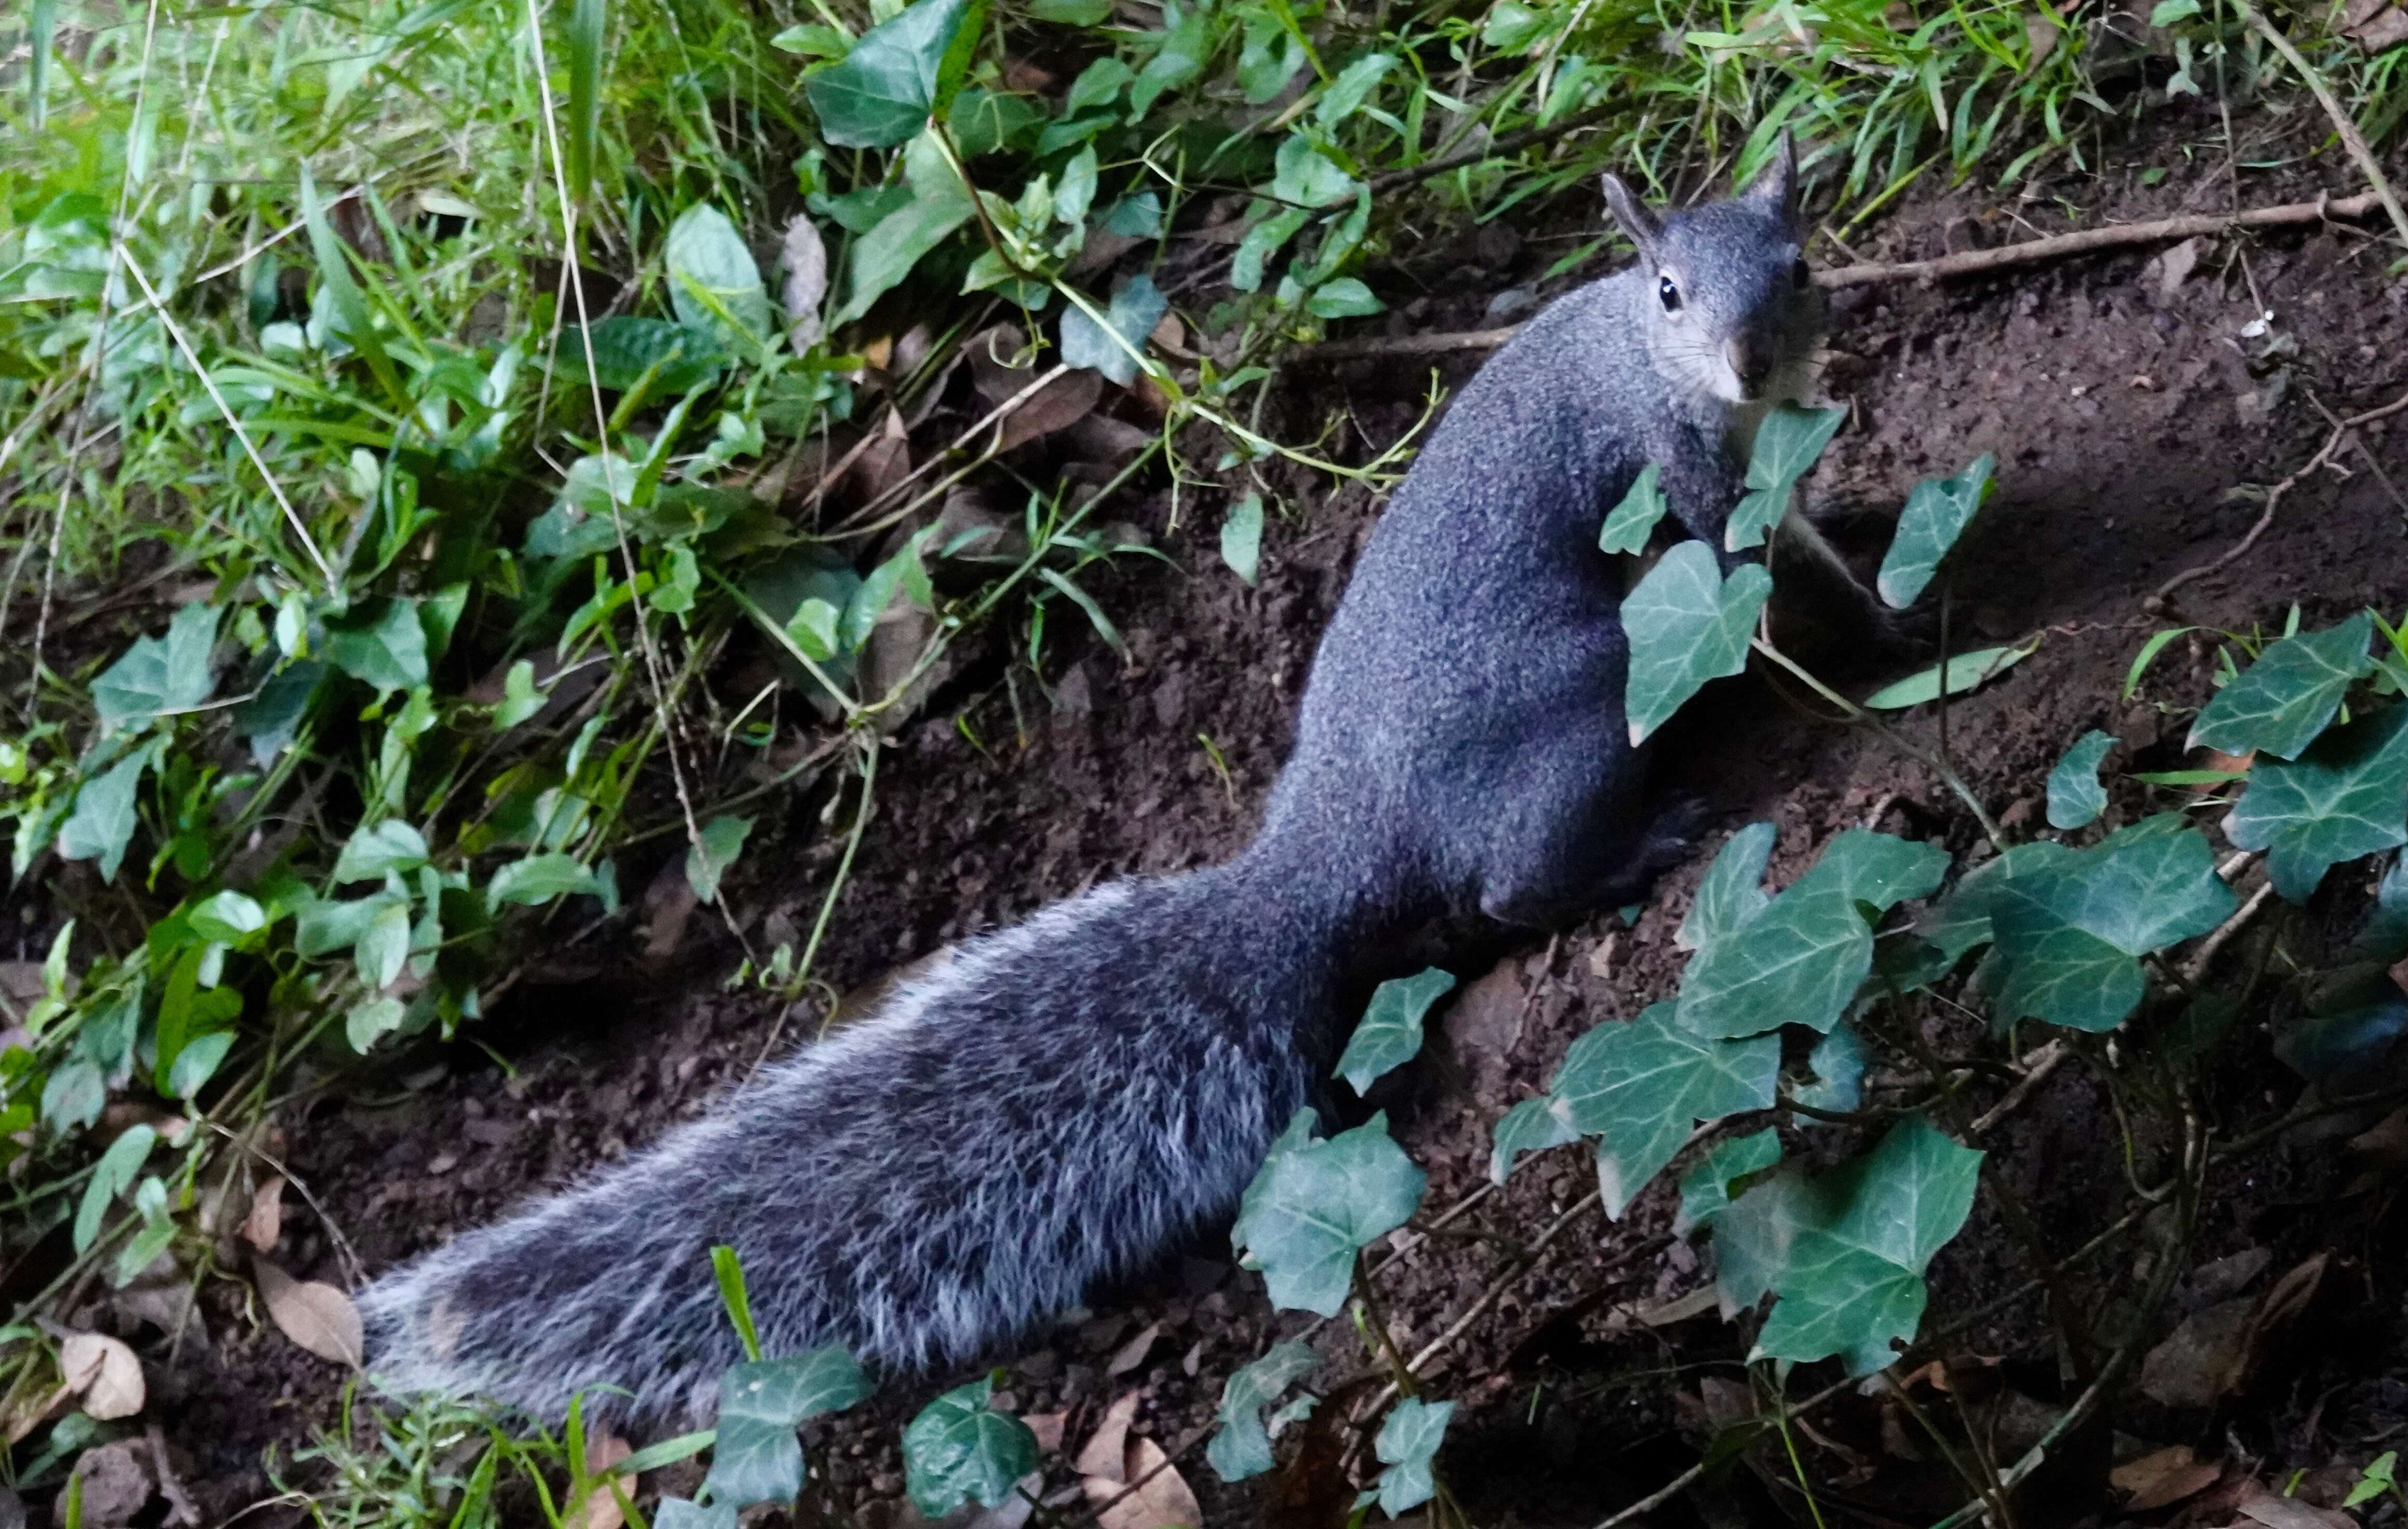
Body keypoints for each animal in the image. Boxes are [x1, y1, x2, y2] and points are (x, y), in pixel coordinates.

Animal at [361, 138, 1859, 1425]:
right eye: (1667, 290)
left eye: (1795, 263)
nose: (1749, 359)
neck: (1644, 355)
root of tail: (1326, 849)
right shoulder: (1671, 464)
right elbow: (1744, 570)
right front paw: (1865, 625)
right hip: (1581, 714)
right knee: (1507, 891)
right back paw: (1634, 845)